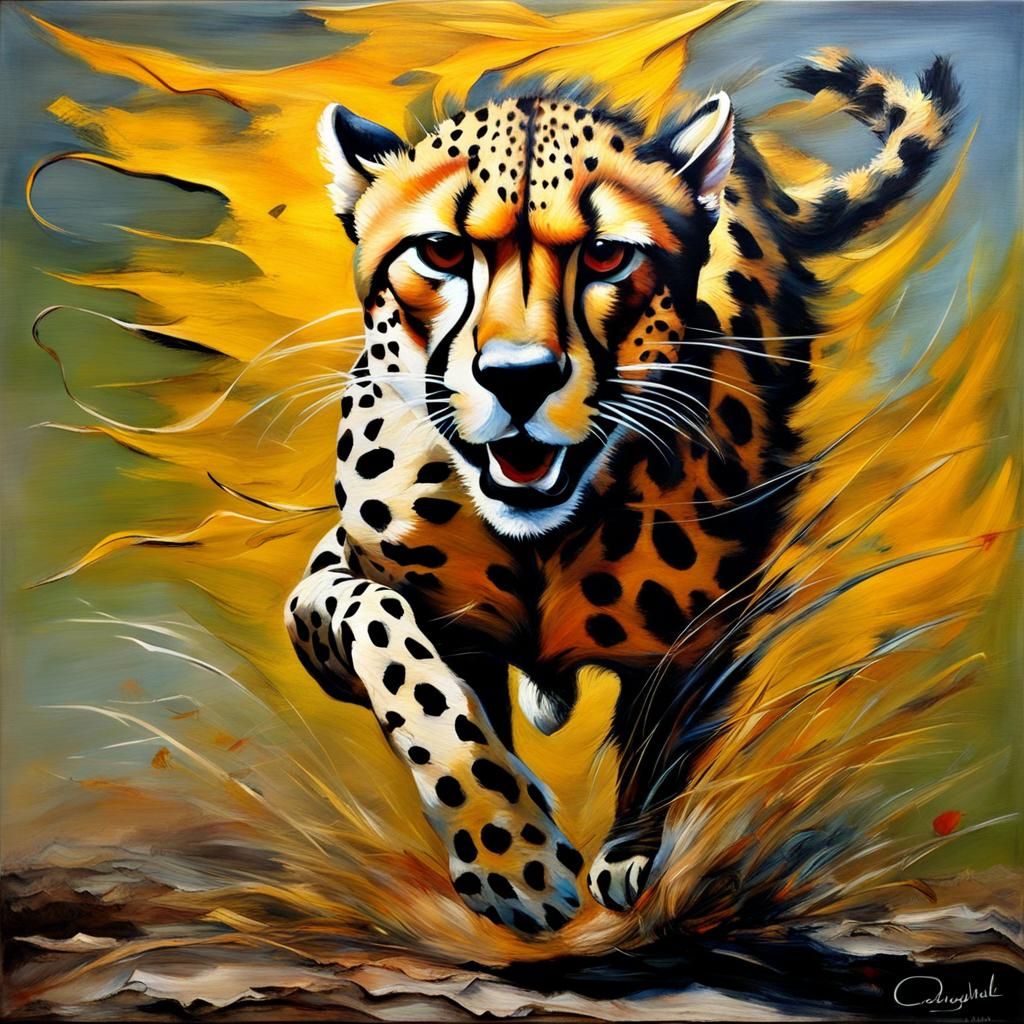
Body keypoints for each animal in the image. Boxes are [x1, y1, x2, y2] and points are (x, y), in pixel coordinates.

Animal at [285, 50, 959, 934]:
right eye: (440, 252)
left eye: (608, 257)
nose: (519, 377)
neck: (538, 537)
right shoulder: (338, 587)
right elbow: (407, 663)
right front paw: (513, 857)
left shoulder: (704, 634)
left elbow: (658, 743)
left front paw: (625, 863)